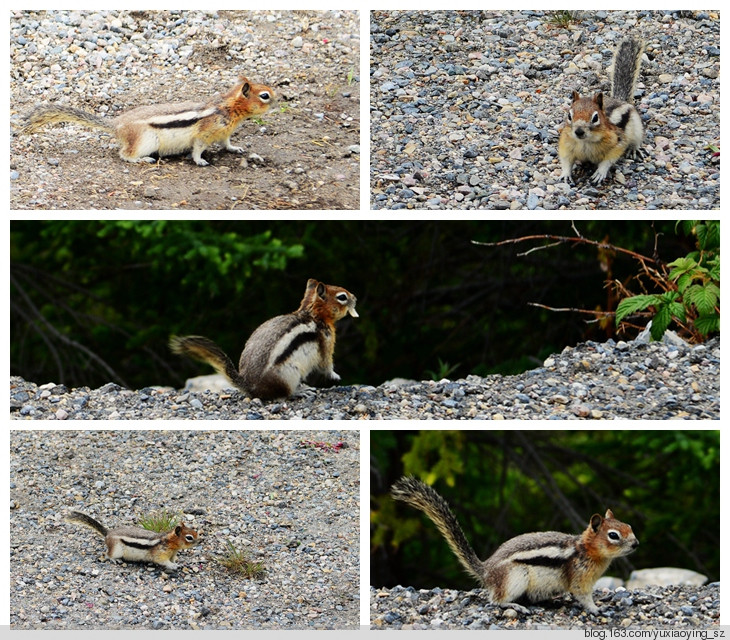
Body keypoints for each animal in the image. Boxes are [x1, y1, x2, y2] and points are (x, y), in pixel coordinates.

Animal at [23, 74, 272, 168]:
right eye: (265, 96)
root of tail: (117, 125)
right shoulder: (205, 132)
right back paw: (142, 160)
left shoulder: (224, 132)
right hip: (146, 140)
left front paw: (236, 148)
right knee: (124, 154)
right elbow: (198, 148)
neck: (229, 108)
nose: (278, 98)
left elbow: (227, 143)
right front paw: (200, 161)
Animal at [65, 510, 199, 568]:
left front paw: (177, 563)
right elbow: (162, 561)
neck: (171, 543)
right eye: (189, 537)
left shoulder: (172, 554)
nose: (200, 541)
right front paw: (174, 566)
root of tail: (108, 533)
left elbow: (173, 559)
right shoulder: (160, 553)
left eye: (195, 532)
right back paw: (114, 559)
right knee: (107, 554)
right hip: (116, 549)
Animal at [168, 278, 356, 400]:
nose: (354, 297)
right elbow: (326, 365)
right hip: (289, 374)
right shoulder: (326, 343)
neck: (314, 315)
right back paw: (299, 391)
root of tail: (249, 386)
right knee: (284, 394)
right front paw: (335, 375)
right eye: (342, 297)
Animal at [390, 478, 636, 612]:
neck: (586, 549)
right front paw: (596, 608)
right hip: (514, 578)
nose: (636, 544)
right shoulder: (579, 577)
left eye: (629, 526)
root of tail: (486, 570)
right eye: (613, 535)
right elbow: (583, 596)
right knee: (495, 601)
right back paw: (513, 605)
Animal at [556, 37, 644, 184]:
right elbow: (566, 160)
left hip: (637, 127)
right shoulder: (566, 144)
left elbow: (608, 160)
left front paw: (600, 173)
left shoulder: (617, 141)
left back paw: (634, 149)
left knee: (636, 140)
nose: (579, 131)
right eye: (569, 115)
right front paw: (565, 174)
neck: (585, 142)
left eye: (595, 118)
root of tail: (619, 99)